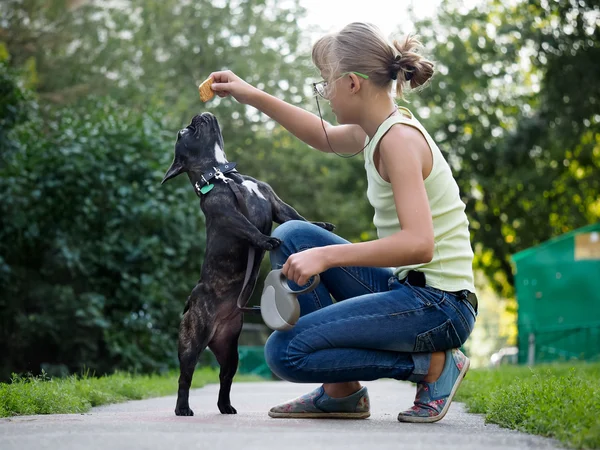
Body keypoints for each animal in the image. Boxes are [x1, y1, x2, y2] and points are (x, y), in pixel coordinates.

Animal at [162, 111, 336, 414]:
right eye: (186, 132)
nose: (197, 115)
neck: (223, 175)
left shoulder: (276, 204)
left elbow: (296, 217)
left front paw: (320, 224)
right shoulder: (227, 214)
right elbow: (249, 229)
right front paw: (267, 241)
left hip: (231, 351)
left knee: (226, 376)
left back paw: (226, 406)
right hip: (192, 341)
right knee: (186, 374)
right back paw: (183, 408)